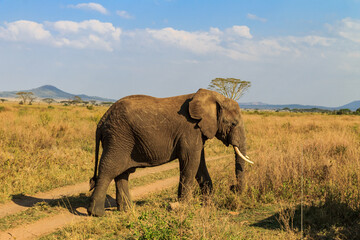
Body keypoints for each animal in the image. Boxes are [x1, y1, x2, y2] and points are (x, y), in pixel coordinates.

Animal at [87, 88, 252, 218]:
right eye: (233, 123)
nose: (233, 188)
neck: (214, 97)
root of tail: (102, 120)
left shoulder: (198, 132)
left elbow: (200, 165)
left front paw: (208, 205)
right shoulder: (190, 131)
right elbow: (190, 163)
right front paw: (183, 207)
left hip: (122, 139)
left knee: (122, 173)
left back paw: (127, 210)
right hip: (118, 137)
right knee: (109, 169)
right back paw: (97, 213)